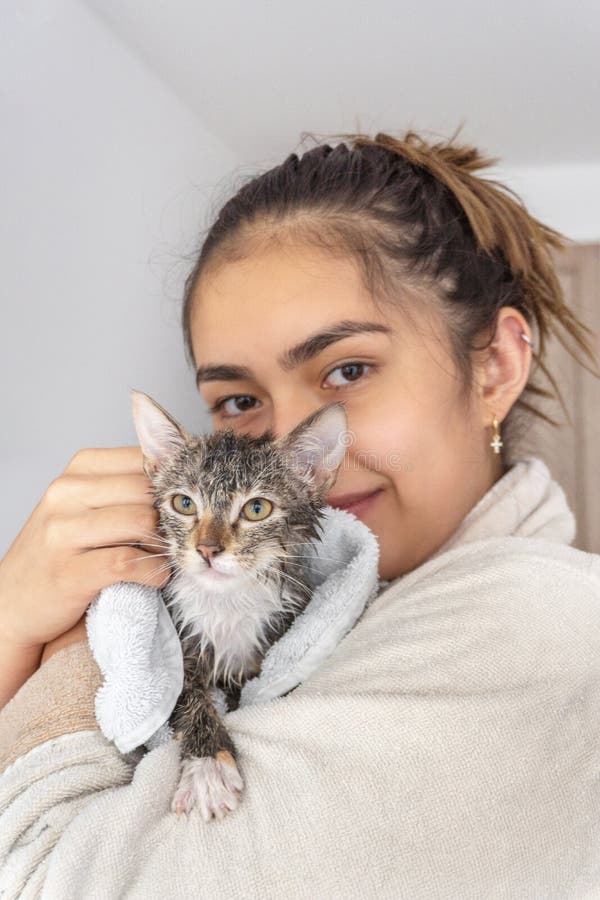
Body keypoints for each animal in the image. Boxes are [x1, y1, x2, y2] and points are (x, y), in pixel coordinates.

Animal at [131, 388, 346, 824]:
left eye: (256, 509)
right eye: (183, 503)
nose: (207, 549)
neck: (226, 600)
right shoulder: (176, 638)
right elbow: (184, 694)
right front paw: (208, 767)